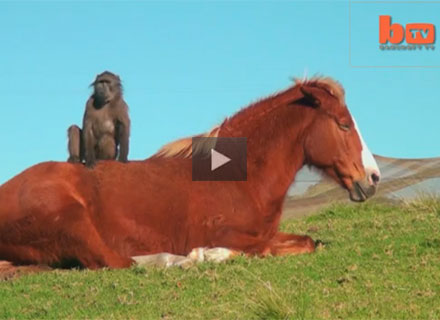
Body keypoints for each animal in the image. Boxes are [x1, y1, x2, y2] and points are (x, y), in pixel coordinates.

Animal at [0, 75, 378, 276]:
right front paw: (207, 254)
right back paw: (177, 258)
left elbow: (306, 241)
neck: (238, 177)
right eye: (344, 124)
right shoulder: (233, 235)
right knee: (115, 261)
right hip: (72, 219)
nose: (372, 178)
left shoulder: (265, 233)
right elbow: (272, 248)